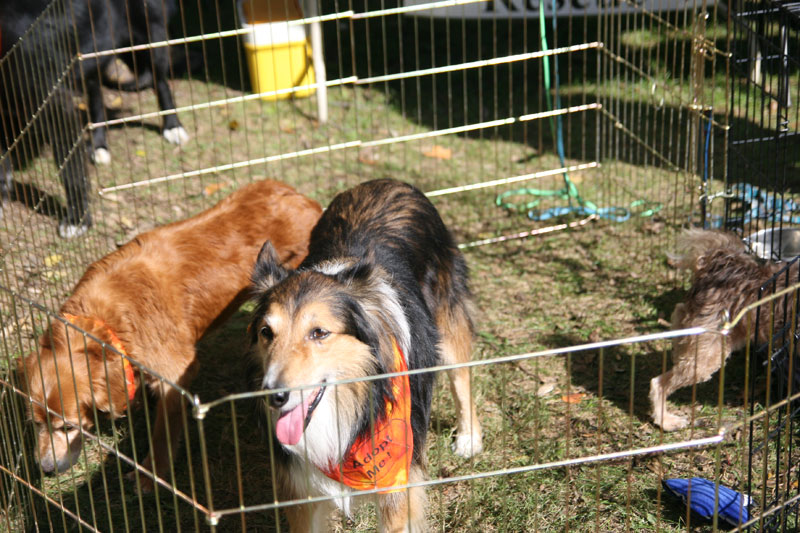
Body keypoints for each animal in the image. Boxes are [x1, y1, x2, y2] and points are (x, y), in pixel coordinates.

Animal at [0, 0, 188, 237]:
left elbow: (71, 171)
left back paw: (172, 126)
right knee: (96, 93)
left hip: (148, 33)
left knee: (160, 79)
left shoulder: (54, 102)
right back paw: (99, 145)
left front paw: (77, 220)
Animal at [19, 181, 318, 488]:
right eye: (35, 423)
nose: (46, 469)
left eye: (67, 426)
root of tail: (299, 197)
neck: (103, 322)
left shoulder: (174, 374)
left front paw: (150, 474)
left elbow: (162, 432)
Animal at [250, 180, 484, 532]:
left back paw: (469, 438)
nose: (274, 397)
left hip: (448, 314)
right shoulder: (301, 491)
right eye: (267, 332)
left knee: (461, 374)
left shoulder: (397, 484)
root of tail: (387, 183)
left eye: (319, 333)